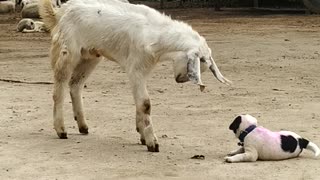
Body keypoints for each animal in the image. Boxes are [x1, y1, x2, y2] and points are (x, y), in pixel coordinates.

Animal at [39, 0, 230, 153]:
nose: (180, 79)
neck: (158, 33)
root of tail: (61, 11)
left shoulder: (142, 70)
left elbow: (140, 104)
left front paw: (143, 136)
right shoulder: (136, 69)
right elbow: (145, 104)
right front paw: (153, 143)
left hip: (90, 56)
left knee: (75, 84)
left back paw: (83, 126)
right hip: (67, 52)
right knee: (59, 87)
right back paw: (61, 130)